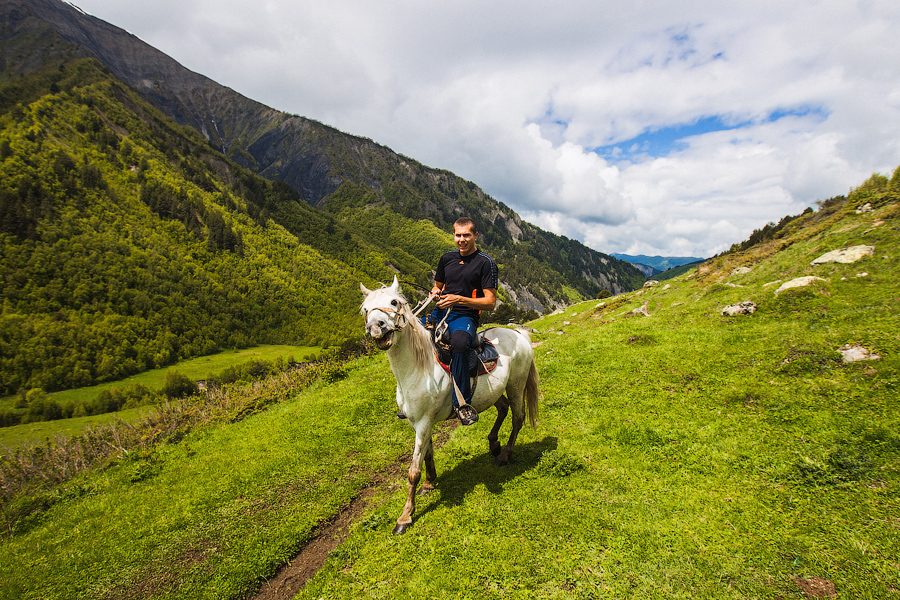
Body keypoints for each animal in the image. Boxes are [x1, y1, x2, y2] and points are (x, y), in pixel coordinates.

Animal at [360, 276, 540, 536]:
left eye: (394, 302)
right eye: (365, 309)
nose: (376, 328)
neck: (419, 367)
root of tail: (517, 334)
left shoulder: (424, 421)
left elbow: (413, 471)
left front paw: (405, 516)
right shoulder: (418, 423)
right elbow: (427, 454)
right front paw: (429, 482)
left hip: (516, 384)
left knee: (518, 417)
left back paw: (504, 455)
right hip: (495, 391)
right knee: (503, 408)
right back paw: (493, 443)